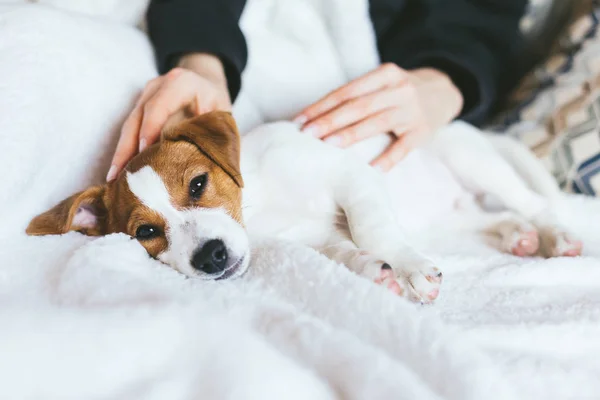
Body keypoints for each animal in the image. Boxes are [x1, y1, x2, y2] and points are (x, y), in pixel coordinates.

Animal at [25, 111, 584, 302]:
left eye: (199, 184)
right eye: (145, 233)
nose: (210, 257)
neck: (262, 205)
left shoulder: (352, 177)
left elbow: (373, 229)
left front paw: (409, 271)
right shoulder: (316, 239)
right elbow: (347, 253)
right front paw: (377, 273)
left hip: (470, 159)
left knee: (534, 201)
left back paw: (556, 234)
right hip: (448, 217)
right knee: (493, 219)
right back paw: (518, 236)